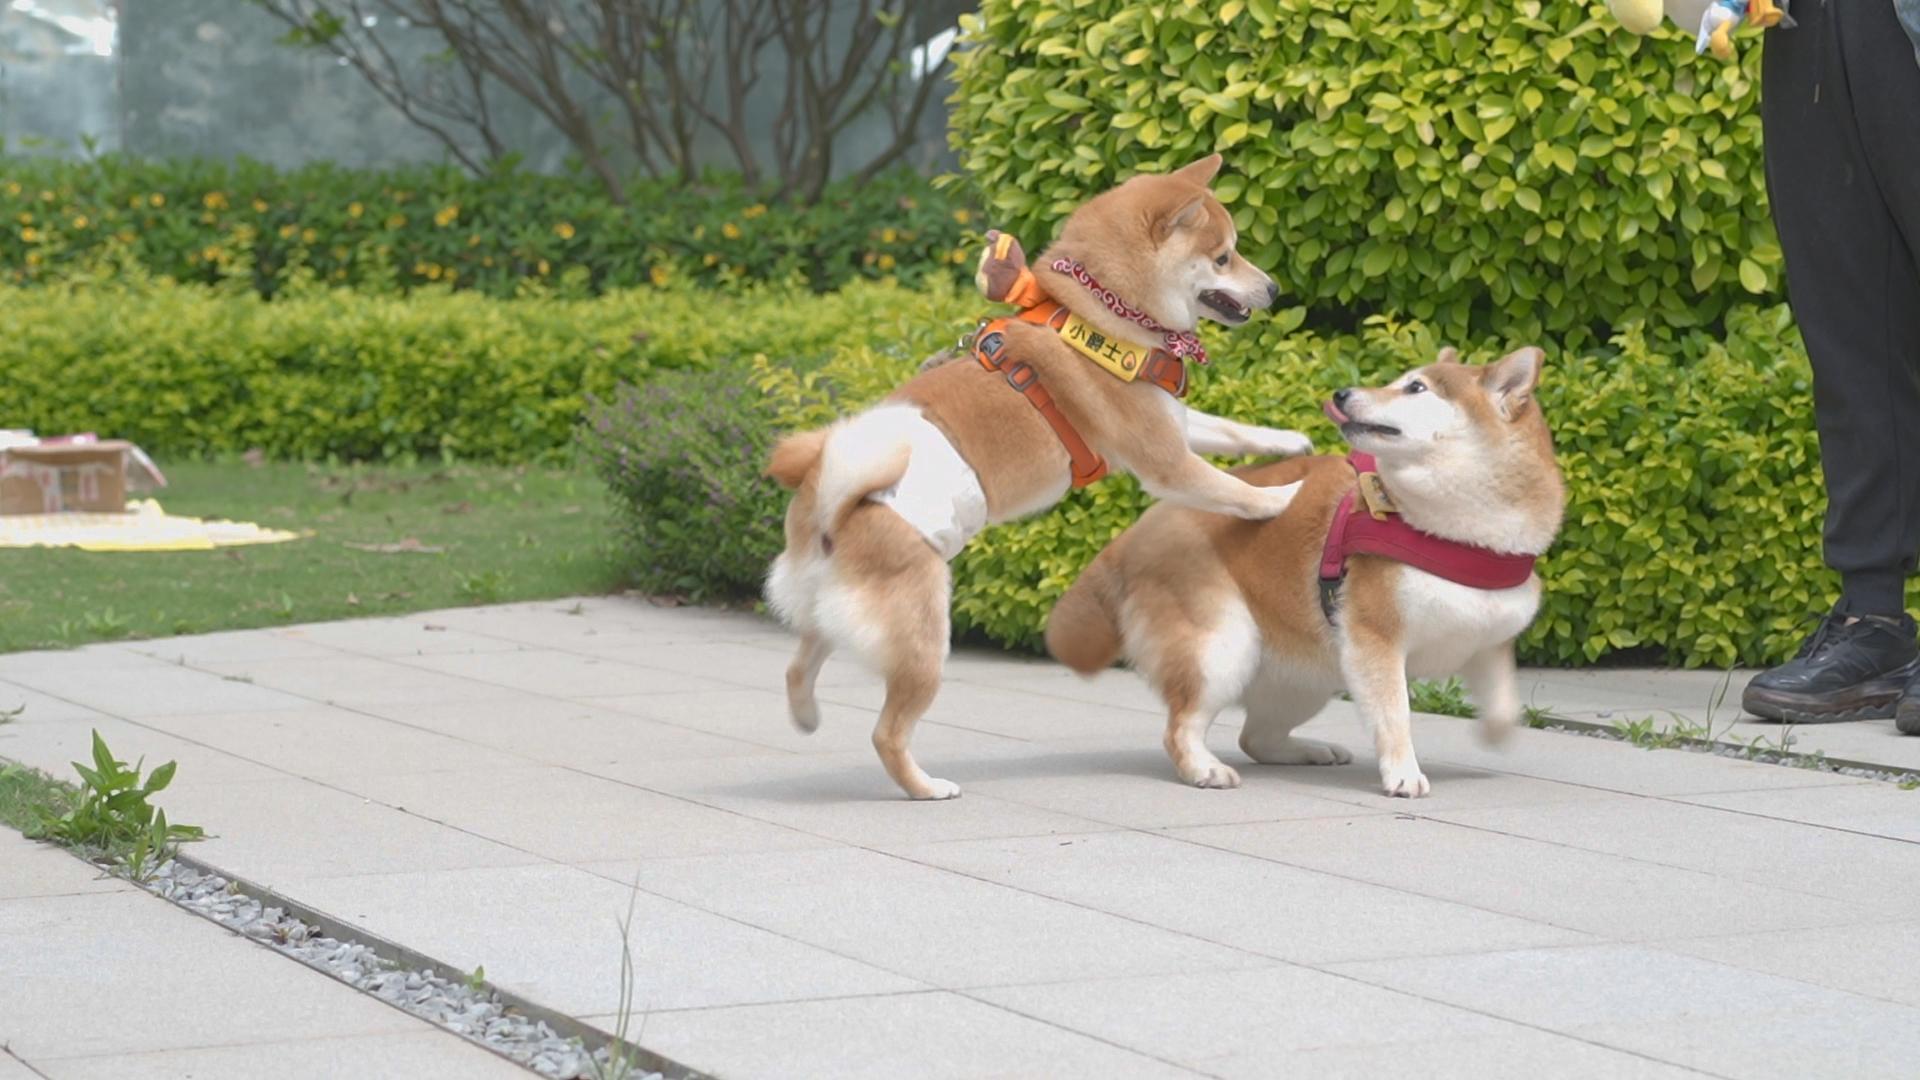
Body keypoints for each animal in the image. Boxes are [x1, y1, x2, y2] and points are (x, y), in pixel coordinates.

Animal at [764, 159, 1320, 799]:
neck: (1105, 314)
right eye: (1225, 257)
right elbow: (1234, 492)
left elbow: (1232, 431)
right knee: (887, 732)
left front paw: (1289, 440)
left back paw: (806, 716)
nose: (1274, 289)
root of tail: (825, 505)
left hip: (834, 617)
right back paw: (926, 786)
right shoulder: (1164, 459)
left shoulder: (1173, 426)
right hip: (924, 637)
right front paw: (1281, 496)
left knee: (798, 664)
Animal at [1052, 349, 1559, 795]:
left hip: (1308, 677)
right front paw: (1402, 773)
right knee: (1182, 727)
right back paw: (1204, 768)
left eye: (1415, 388)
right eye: (1400, 381)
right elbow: (1395, 714)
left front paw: (1495, 733)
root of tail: (1139, 528)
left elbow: (1504, 707)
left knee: (1256, 738)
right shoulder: (1375, 640)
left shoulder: (1488, 640)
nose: (1342, 392)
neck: (1455, 535)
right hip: (1223, 647)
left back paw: (1309, 751)